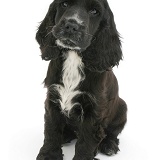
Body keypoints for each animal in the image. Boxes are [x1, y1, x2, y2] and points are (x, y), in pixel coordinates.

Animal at [35, 0, 127, 159]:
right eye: (64, 4)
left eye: (94, 11)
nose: (71, 25)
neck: (73, 57)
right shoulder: (53, 98)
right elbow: (52, 130)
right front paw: (49, 155)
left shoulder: (93, 110)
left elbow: (86, 142)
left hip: (122, 108)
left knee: (111, 133)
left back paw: (109, 145)